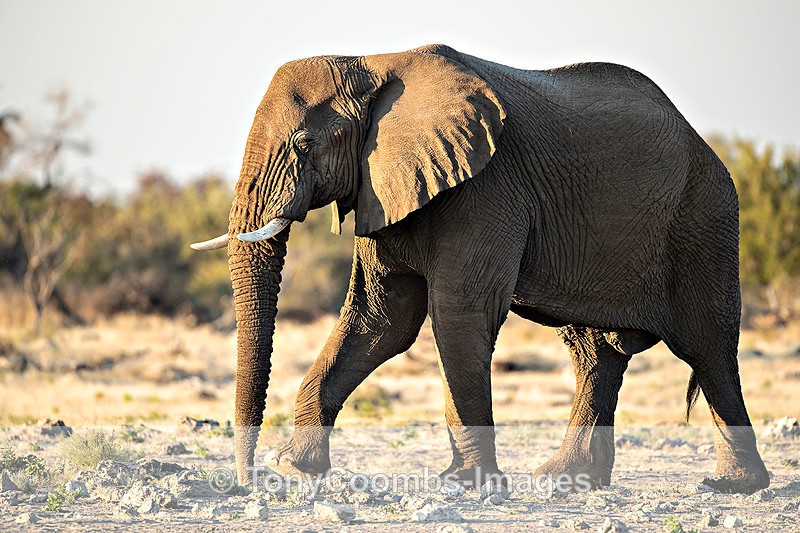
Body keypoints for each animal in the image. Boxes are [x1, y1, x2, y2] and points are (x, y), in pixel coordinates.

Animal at [191, 44, 769, 494]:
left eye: (304, 144)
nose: (249, 480)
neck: (374, 63)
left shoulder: (485, 188)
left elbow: (457, 317)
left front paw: (468, 485)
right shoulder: (385, 190)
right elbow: (382, 321)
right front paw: (296, 470)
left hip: (704, 218)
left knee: (708, 346)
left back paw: (732, 485)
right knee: (595, 352)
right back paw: (565, 481)